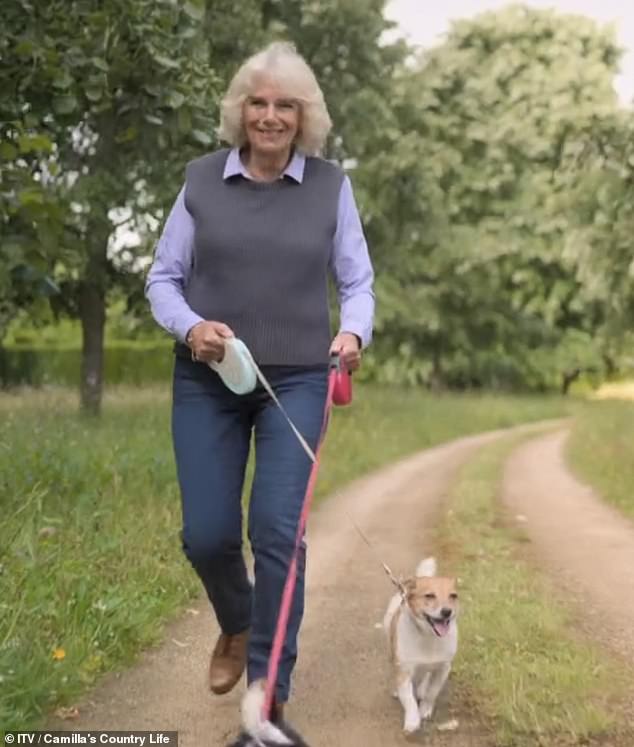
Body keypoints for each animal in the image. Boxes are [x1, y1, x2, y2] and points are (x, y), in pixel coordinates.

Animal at [382, 560, 456, 732]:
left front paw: (425, 710)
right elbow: (409, 699)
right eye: (429, 595)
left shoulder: (443, 668)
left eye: (453, 596)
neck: (428, 636)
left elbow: (432, 692)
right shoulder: (404, 671)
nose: (447, 612)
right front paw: (412, 720)